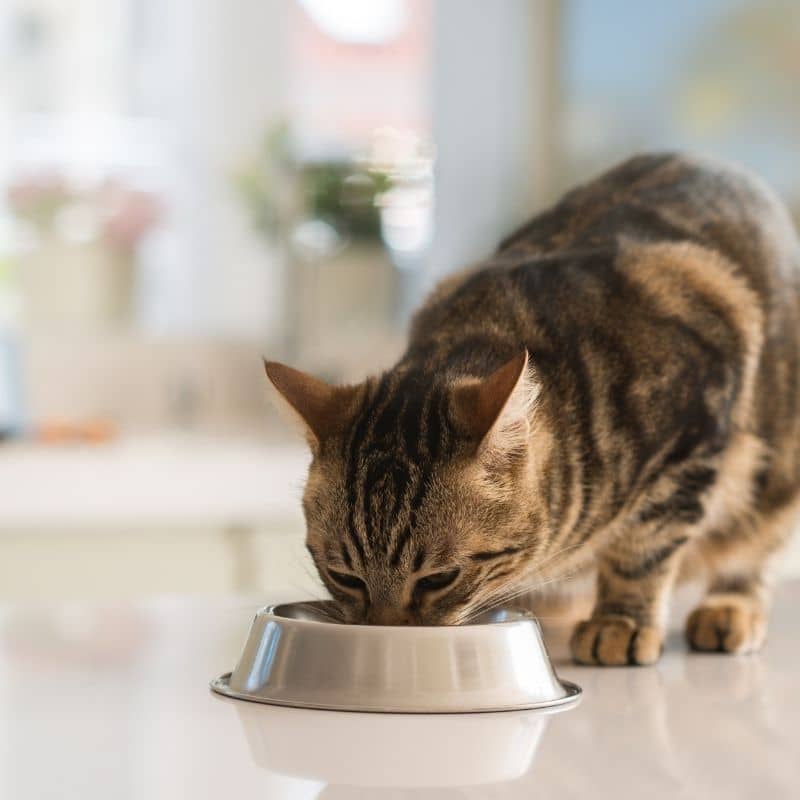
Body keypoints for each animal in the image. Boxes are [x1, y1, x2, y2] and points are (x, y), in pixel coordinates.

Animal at [264, 153, 800, 664]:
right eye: (345, 577)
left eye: (439, 578)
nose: (384, 634)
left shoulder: (694, 427)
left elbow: (643, 547)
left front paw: (621, 620)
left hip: (775, 480)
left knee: (751, 552)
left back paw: (730, 607)